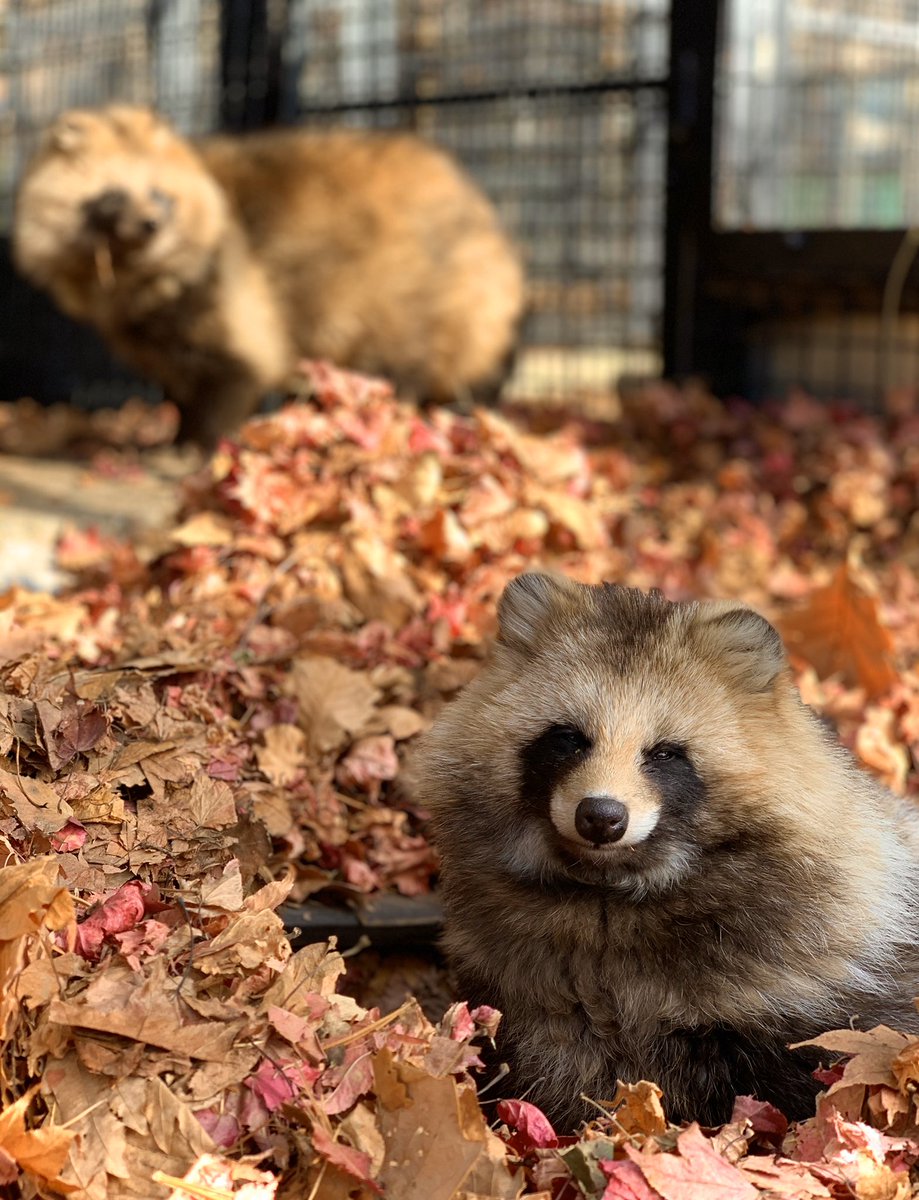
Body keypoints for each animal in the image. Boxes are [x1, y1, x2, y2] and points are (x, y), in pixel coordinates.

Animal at [14, 104, 525, 446]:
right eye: (114, 194)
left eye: (160, 194)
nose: (151, 225)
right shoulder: (165, 348)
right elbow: (179, 393)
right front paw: (179, 437)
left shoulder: (237, 313)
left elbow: (228, 386)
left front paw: (198, 445)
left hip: (411, 308)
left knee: (416, 369)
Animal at [412, 576, 919, 1128]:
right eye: (569, 737)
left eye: (664, 753)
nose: (601, 817)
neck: (609, 891)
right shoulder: (524, 989)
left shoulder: (810, 991)